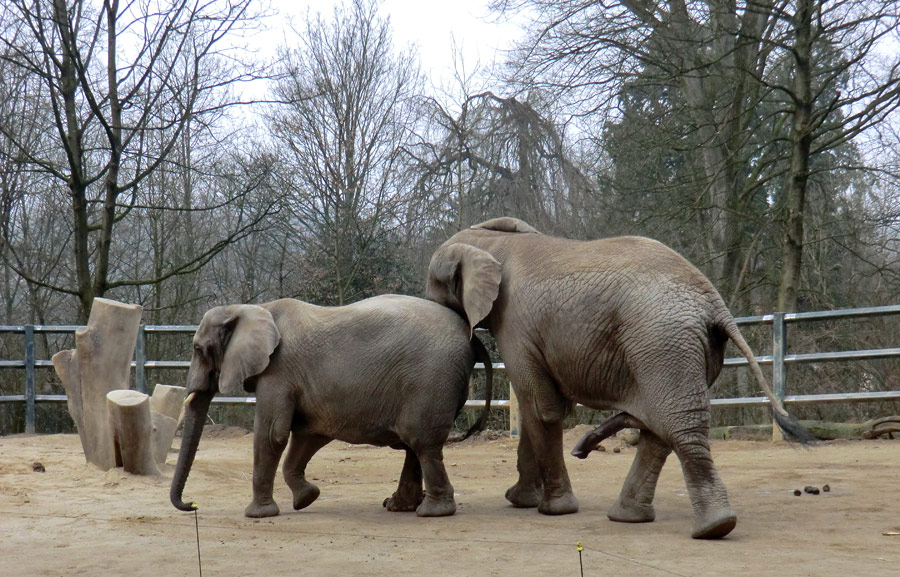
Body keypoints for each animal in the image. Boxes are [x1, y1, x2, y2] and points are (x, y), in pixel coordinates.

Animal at [169, 294, 492, 516]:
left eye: (199, 349)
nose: (192, 504)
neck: (253, 308)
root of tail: (469, 333)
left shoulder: (278, 370)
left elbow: (272, 434)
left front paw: (257, 515)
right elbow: (306, 436)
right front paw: (306, 499)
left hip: (432, 378)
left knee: (422, 442)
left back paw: (432, 512)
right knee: (416, 445)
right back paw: (398, 506)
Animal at [426, 217, 812, 540]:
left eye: (434, 287)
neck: (491, 242)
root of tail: (714, 302)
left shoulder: (516, 324)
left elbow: (540, 407)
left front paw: (551, 510)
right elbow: (537, 405)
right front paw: (522, 500)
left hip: (661, 341)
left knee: (675, 424)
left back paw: (713, 527)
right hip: (685, 348)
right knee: (662, 428)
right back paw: (635, 517)